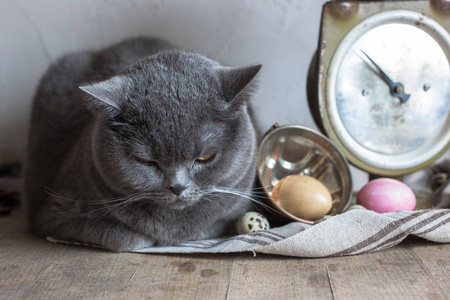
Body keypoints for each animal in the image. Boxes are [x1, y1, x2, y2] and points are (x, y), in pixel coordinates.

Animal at [23, 38, 264, 252]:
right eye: (146, 161)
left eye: (205, 158)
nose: (177, 187)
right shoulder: (54, 214)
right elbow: (123, 238)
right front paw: (147, 239)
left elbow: (208, 227)